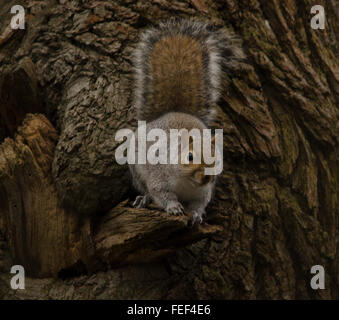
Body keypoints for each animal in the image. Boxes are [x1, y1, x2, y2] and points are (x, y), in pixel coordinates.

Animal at [129, 18, 244, 224]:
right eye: (189, 157)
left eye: (217, 158)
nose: (206, 177)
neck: (187, 182)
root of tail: (176, 111)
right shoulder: (159, 176)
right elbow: (161, 193)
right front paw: (173, 207)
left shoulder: (203, 193)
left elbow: (199, 204)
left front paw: (197, 215)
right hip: (136, 167)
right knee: (145, 186)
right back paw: (145, 197)